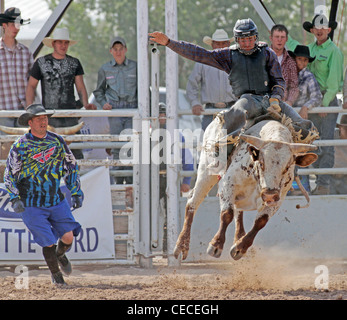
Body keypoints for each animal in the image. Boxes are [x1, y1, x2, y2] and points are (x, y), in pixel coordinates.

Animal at [175, 114, 320, 262]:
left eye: (287, 167)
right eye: (261, 163)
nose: (269, 194)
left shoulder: (277, 200)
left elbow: (261, 221)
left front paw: (239, 247)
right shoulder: (228, 184)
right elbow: (227, 214)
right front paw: (216, 245)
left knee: (238, 212)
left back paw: (239, 237)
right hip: (206, 170)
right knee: (192, 202)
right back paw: (182, 246)